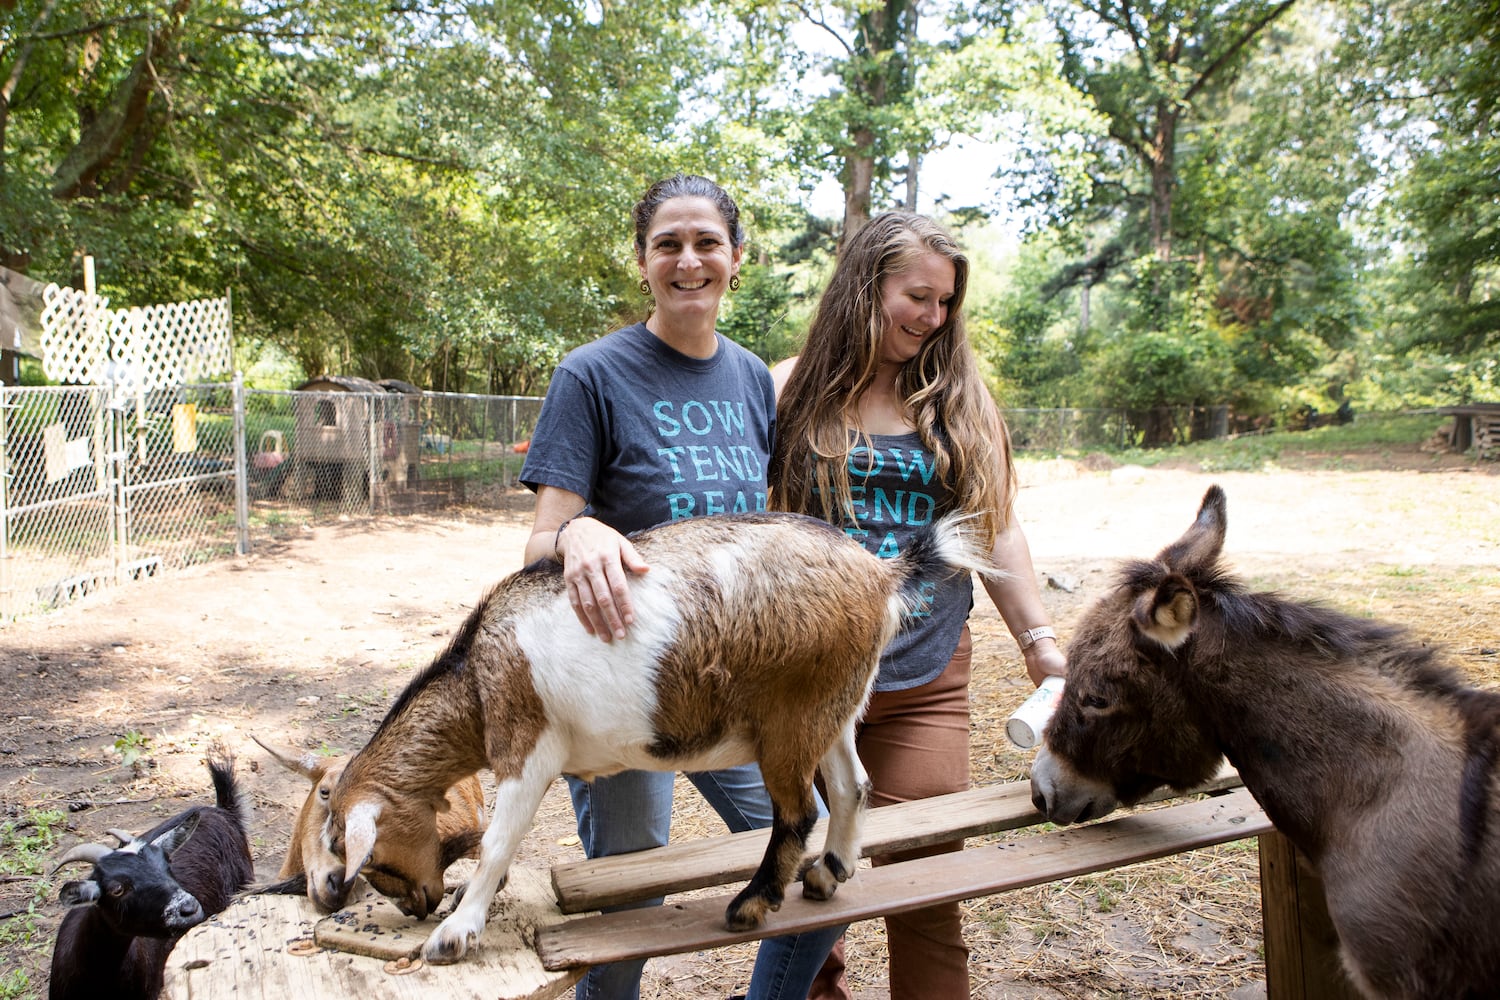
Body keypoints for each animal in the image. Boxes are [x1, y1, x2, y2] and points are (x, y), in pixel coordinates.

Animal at [325, 512, 996, 965]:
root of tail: (881, 573)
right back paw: (830, 874)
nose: (414, 906)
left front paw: (454, 932)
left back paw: (751, 903)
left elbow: (498, 841)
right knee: (853, 785)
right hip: (833, 706)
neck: (476, 677)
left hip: (790, 717)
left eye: (365, 854)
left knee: (800, 811)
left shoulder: (527, 747)